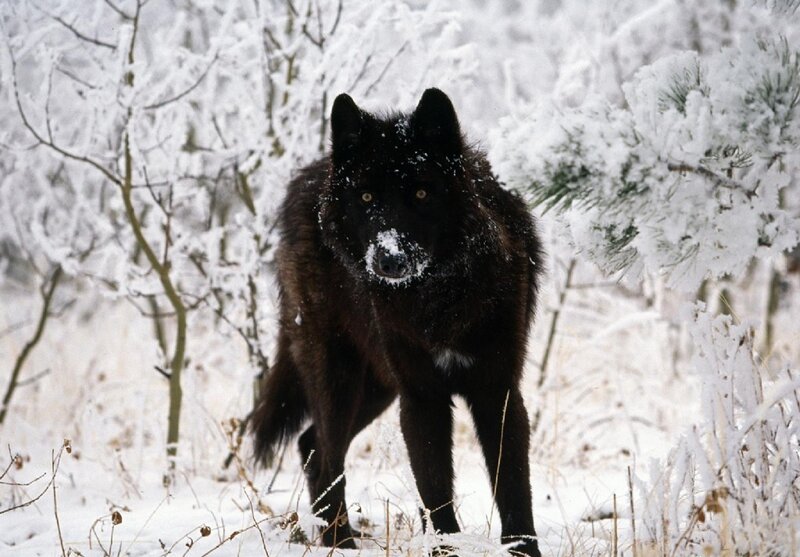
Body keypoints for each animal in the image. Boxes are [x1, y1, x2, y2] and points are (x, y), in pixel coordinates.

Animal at [251, 88, 543, 557]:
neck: (438, 300)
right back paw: (340, 543)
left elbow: (514, 490)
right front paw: (445, 549)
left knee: (311, 444)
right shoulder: (421, 398)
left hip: (377, 388)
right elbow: (436, 496)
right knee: (326, 454)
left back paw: (337, 540)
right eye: (367, 199)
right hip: (340, 379)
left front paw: (523, 551)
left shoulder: (497, 392)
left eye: (422, 193)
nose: (389, 259)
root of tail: (310, 175)